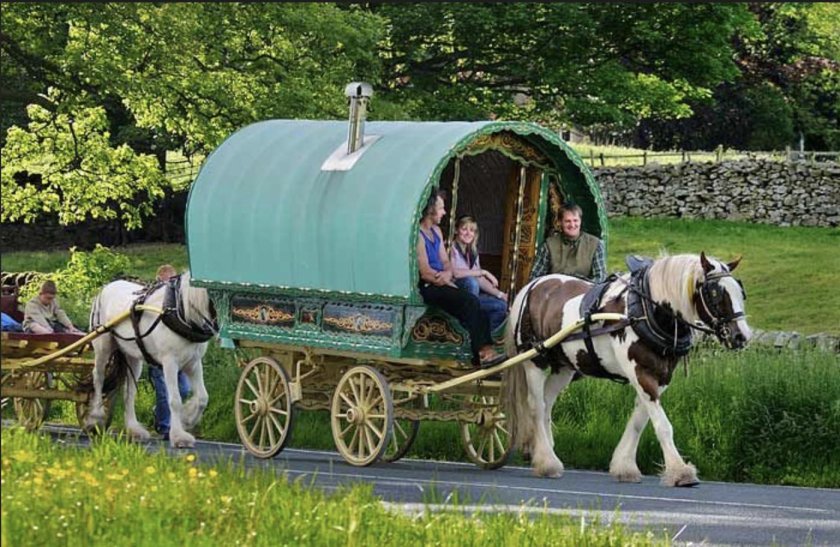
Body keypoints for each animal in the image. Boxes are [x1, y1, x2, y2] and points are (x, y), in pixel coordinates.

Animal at [86, 271, 216, 448]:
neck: (179, 310)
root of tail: (106, 287)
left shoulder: (193, 363)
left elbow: (203, 397)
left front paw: (187, 419)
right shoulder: (170, 362)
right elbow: (175, 400)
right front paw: (179, 436)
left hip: (133, 358)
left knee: (129, 393)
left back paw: (134, 430)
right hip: (103, 346)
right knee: (98, 378)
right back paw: (95, 417)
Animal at [503, 252, 751, 486]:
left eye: (740, 291)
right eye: (715, 294)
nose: (742, 336)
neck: (645, 311)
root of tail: (533, 285)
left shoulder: (660, 377)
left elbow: (639, 421)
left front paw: (624, 466)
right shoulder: (640, 373)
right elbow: (662, 425)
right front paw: (680, 471)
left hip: (565, 367)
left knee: (547, 404)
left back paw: (541, 451)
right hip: (534, 360)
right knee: (536, 406)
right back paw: (547, 462)